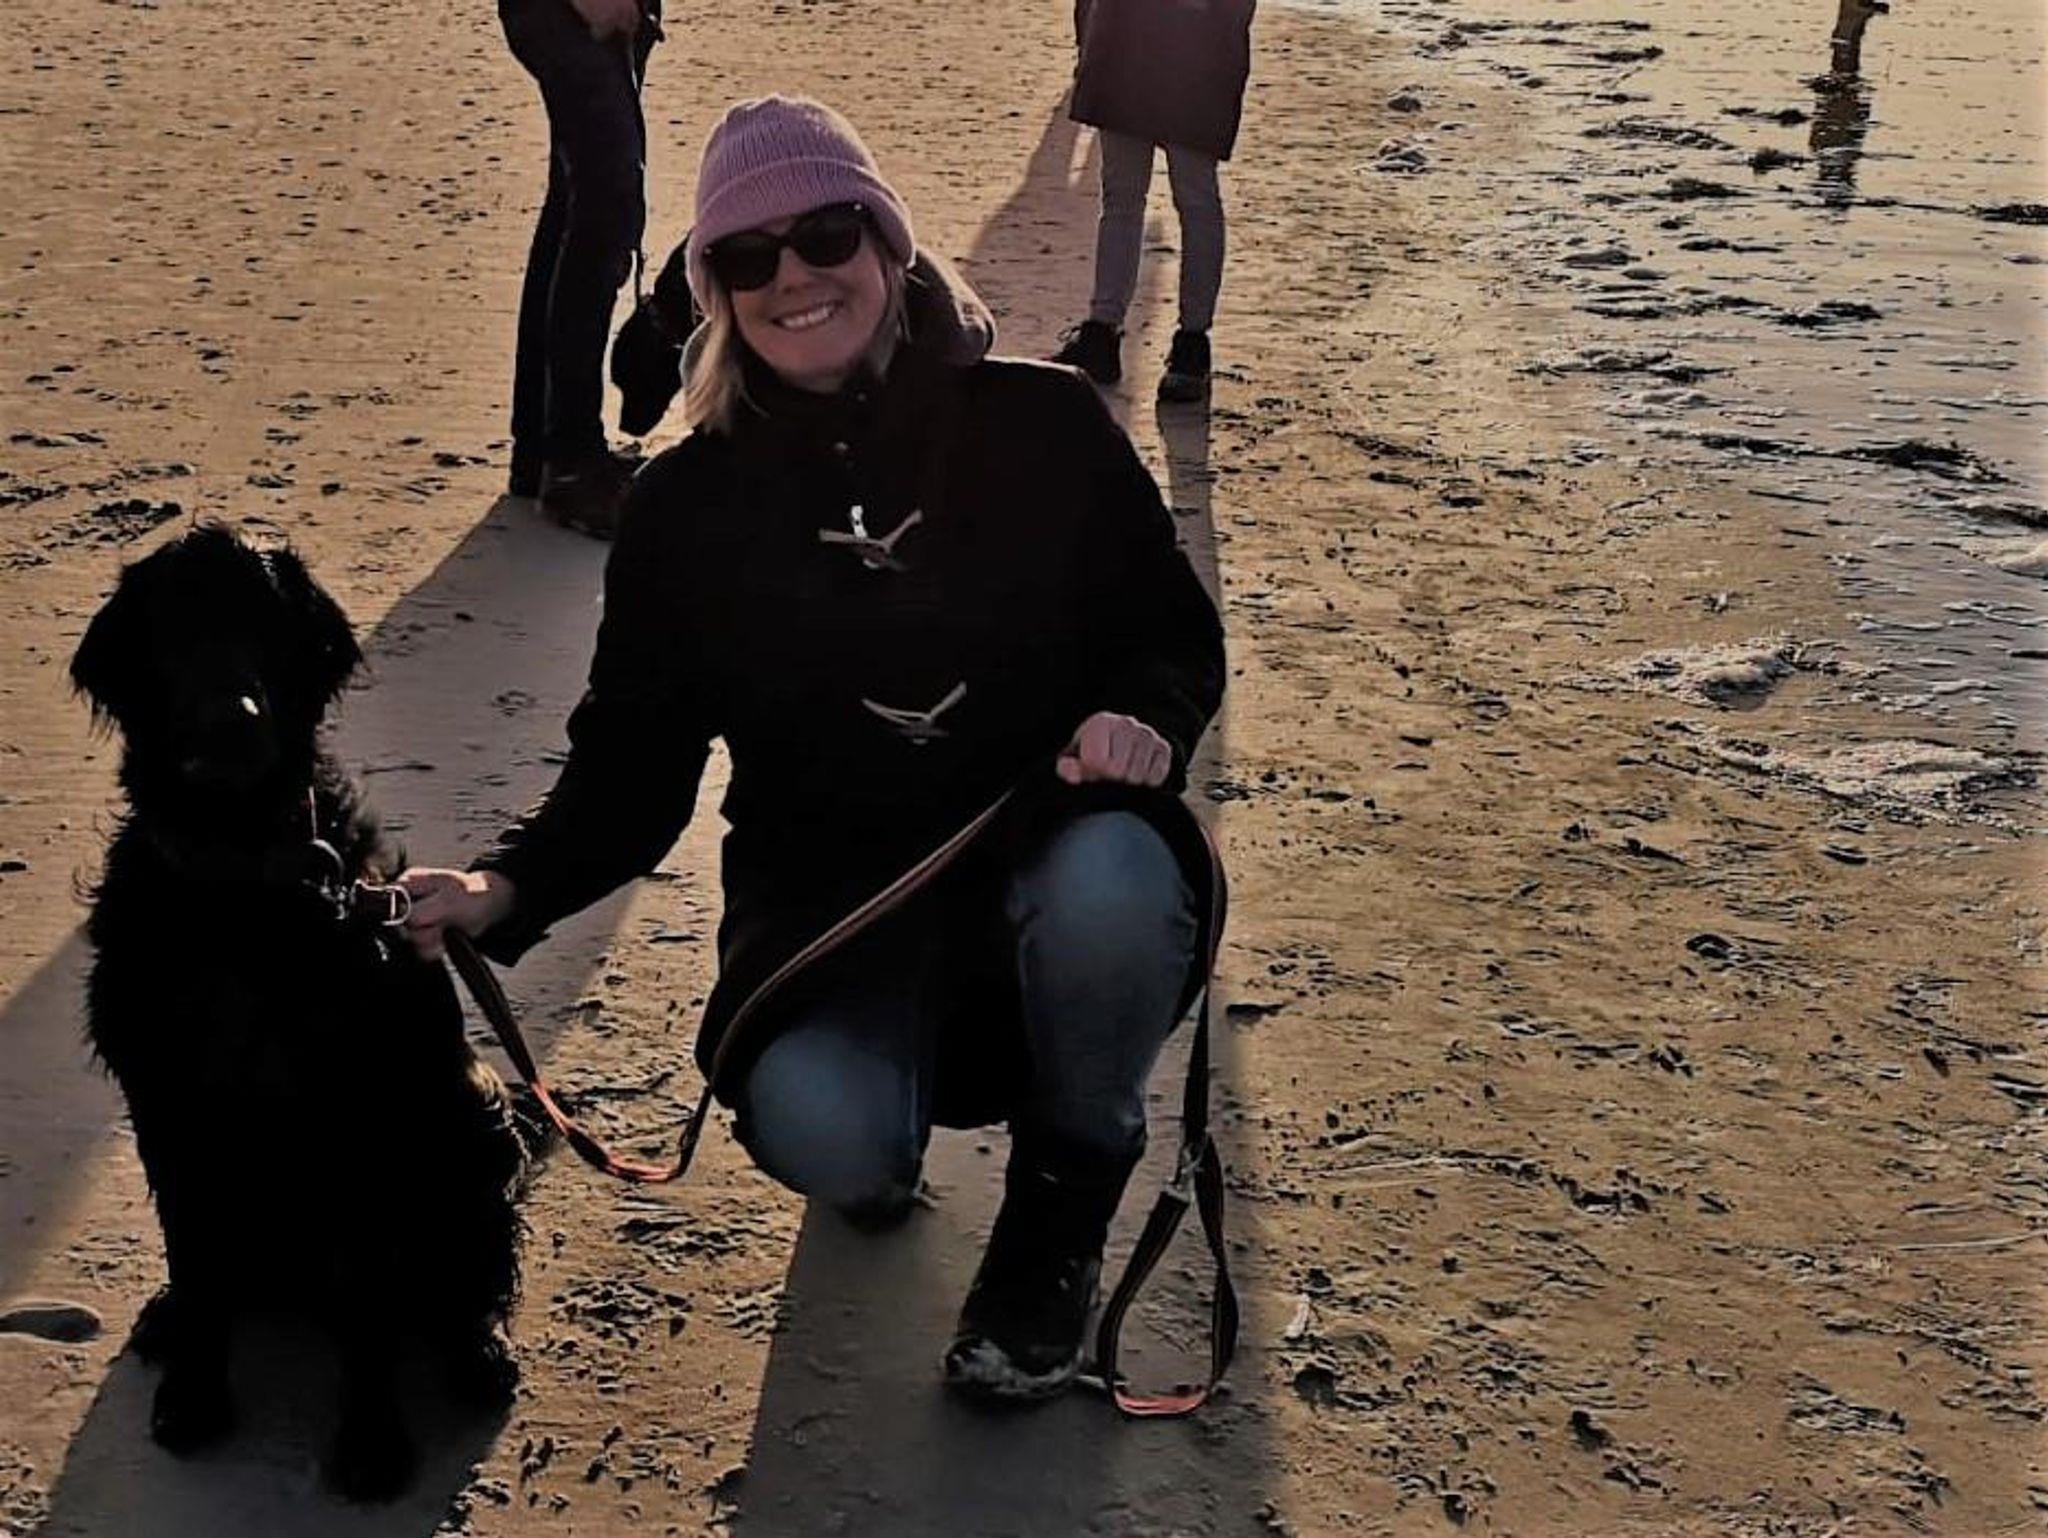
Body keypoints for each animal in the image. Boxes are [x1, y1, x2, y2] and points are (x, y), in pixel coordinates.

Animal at [70, 524, 526, 1501]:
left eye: (267, 625)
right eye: (169, 628)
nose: (229, 721)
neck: (238, 879)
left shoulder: (356, 1115)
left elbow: (368, 1303)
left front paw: (371, 1439)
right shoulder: (167, 1104)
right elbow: (197, 1263)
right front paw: (196, 1392)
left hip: (475, 1114)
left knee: (464, 1274)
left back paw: (475, 1351)